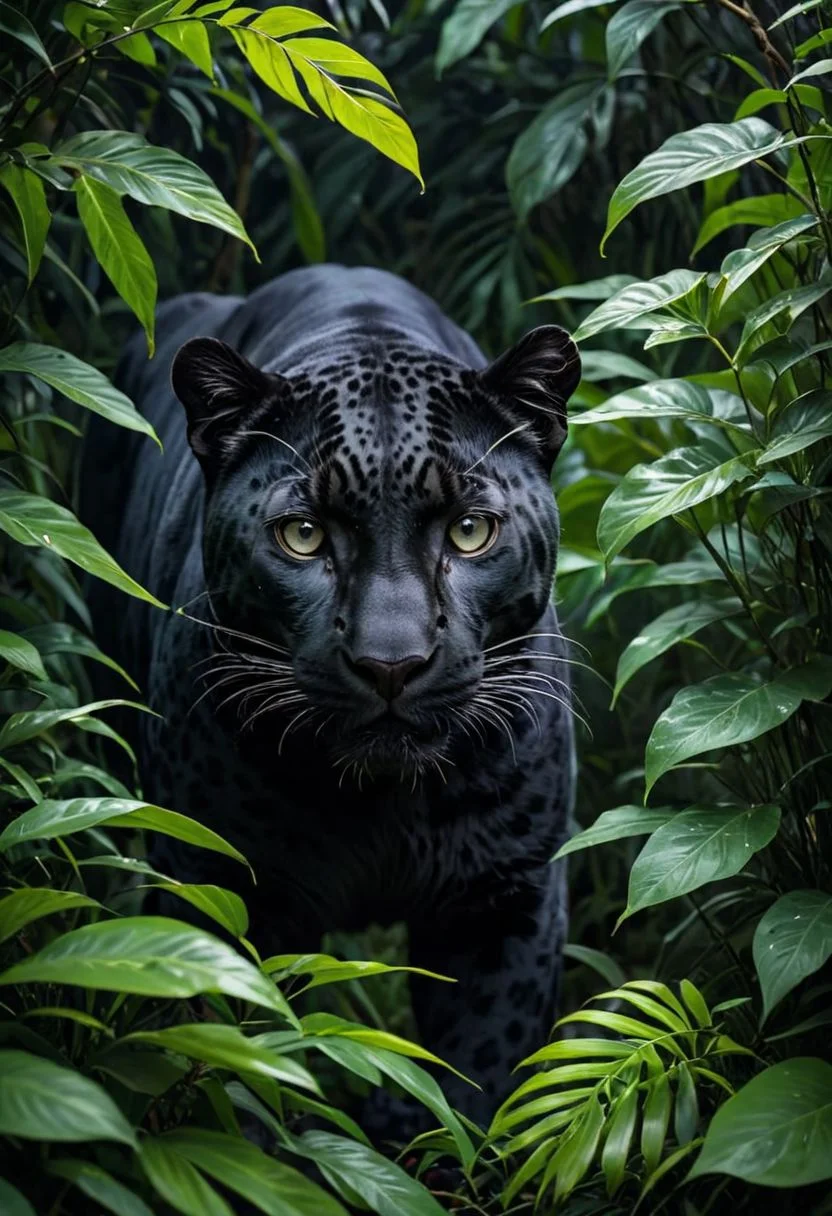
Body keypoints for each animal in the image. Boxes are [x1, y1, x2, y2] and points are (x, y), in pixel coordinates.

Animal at [81, 264, 581, 1136]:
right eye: (304, 535)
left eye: (471, 531)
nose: (391, 663)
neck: (379, 806)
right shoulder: (222, 896)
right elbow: (233, 1076)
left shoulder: (505, 904)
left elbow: (472, 1091)